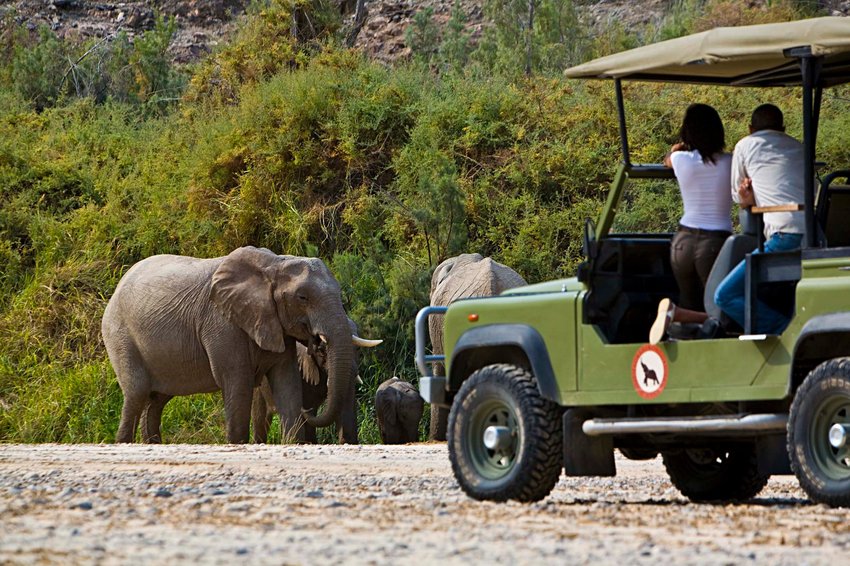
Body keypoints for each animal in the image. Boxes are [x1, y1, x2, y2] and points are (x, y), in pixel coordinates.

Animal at [102, 246, 378, 444]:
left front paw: (294, 442)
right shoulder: (222, 323)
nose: (317, 341)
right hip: (119, 334)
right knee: (137, 392)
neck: (274, 264)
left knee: (157, 400)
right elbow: (237, 381)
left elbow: (286, 382)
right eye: (303, 297)